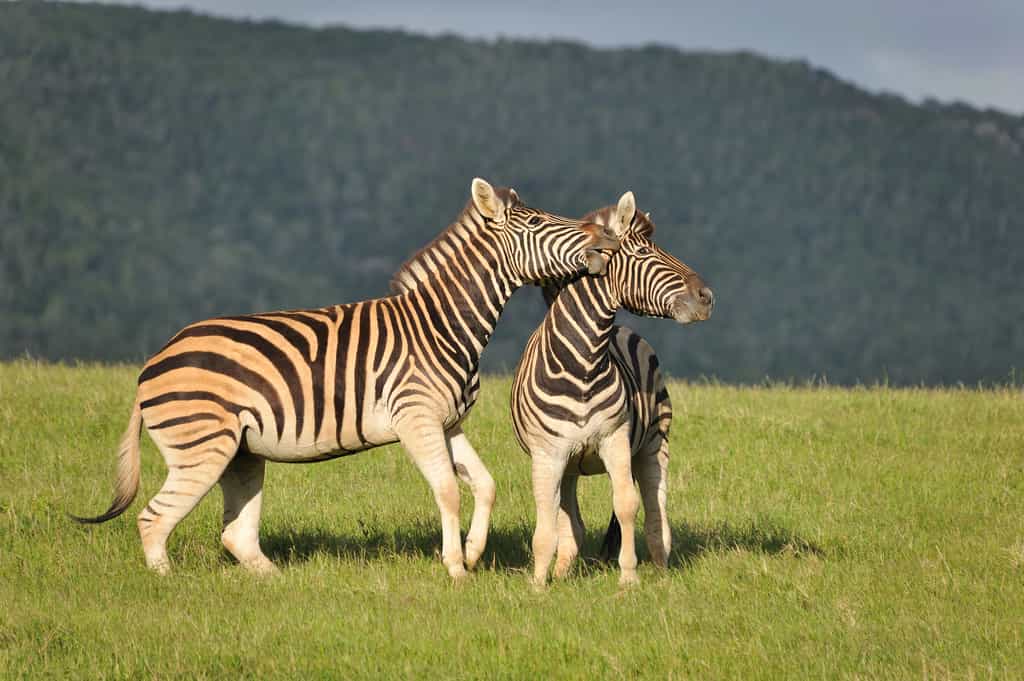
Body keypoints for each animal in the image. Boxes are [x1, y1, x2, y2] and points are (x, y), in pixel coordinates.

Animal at [73, 178, 621, 580]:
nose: (607, 240)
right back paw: (166, 582)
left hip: (241, 453)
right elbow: (448, 490)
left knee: (235, 534)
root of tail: (155, 362)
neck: (442, 323)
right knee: (153, 518)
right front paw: (455, 570)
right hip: (202, 447)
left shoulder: (446, 423)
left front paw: (470, 552)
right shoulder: (416, 419)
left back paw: (278, 583)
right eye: (540, 222)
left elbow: (483, 485)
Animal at [510, 191, 714, 586]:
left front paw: (629, 577)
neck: (584, 364)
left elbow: (627, 505)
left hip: (654, 442)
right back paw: (562, 572)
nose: (707, 297)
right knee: (570, 522)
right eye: (644, 252)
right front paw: (539, 585)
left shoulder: (615, 439)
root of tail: (621, 330)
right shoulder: (548, 453)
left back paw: (661, 571)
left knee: (655, 507)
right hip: (570, 464)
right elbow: (547, 522)